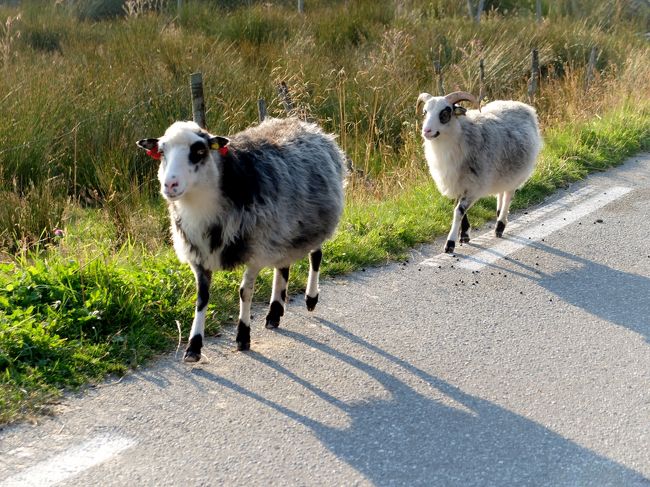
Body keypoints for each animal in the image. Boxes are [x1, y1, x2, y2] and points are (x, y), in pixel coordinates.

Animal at [135, 117, 344, 362]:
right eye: (161, 152)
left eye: (199, 151)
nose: (169, 185)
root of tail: (306, 124)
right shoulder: (199, 255)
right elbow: (202, 298)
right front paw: (193, 346)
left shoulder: (256, 249)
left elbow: (245, 292)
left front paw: (243, 336)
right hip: (283, 229)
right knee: (283, 266)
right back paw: (275, 312)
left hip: (314, 222)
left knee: (316, 256)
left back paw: (310, 299)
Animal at [416, 89, 540, 254]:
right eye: (425, 112)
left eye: (445, 112)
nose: (426, 131)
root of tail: (522, 106)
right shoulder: (459, 183)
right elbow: (458, 208)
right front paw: (464, 235)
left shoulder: (474, 185)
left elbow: (458, 211)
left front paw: (450, 243)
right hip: (502, 170)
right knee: (501, 192)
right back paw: (498, 213)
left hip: (517, 171)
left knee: (508, 195)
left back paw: (500, 226)